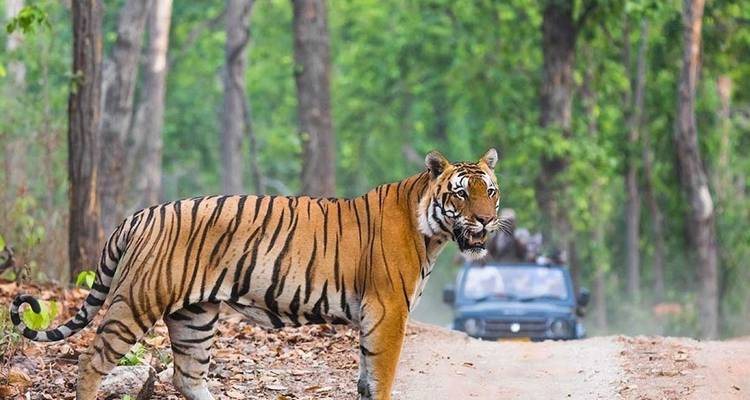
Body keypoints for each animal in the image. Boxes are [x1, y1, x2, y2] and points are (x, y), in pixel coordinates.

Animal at [10, 148, 501, 400]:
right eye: (461, 194)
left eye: (491, 192)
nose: (486, 221)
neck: (431, 231)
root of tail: (140, 215)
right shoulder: (388, 312)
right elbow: (381, 379)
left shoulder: (375, 317)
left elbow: (366, 379)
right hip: (136, 301)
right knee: (92, 362)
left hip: (194, 317)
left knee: (187, 377)